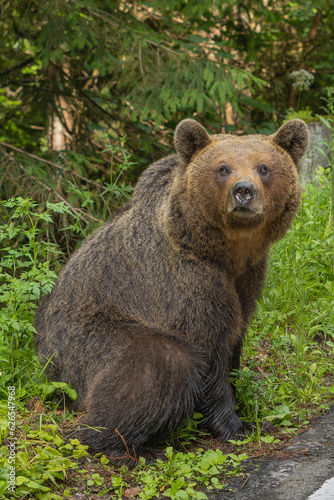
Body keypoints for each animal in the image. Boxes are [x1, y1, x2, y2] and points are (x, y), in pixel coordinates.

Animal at [34, 117, 308, 460]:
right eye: (223, 168)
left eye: (264, 167)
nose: (244, 191)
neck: (226, 253)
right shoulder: (187, 280)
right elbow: (208, 350)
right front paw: (235, 425)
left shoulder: (248, 279)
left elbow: (234, 340)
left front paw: (253, 413)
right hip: (85, 340)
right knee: (162, 364)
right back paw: (126, 447)